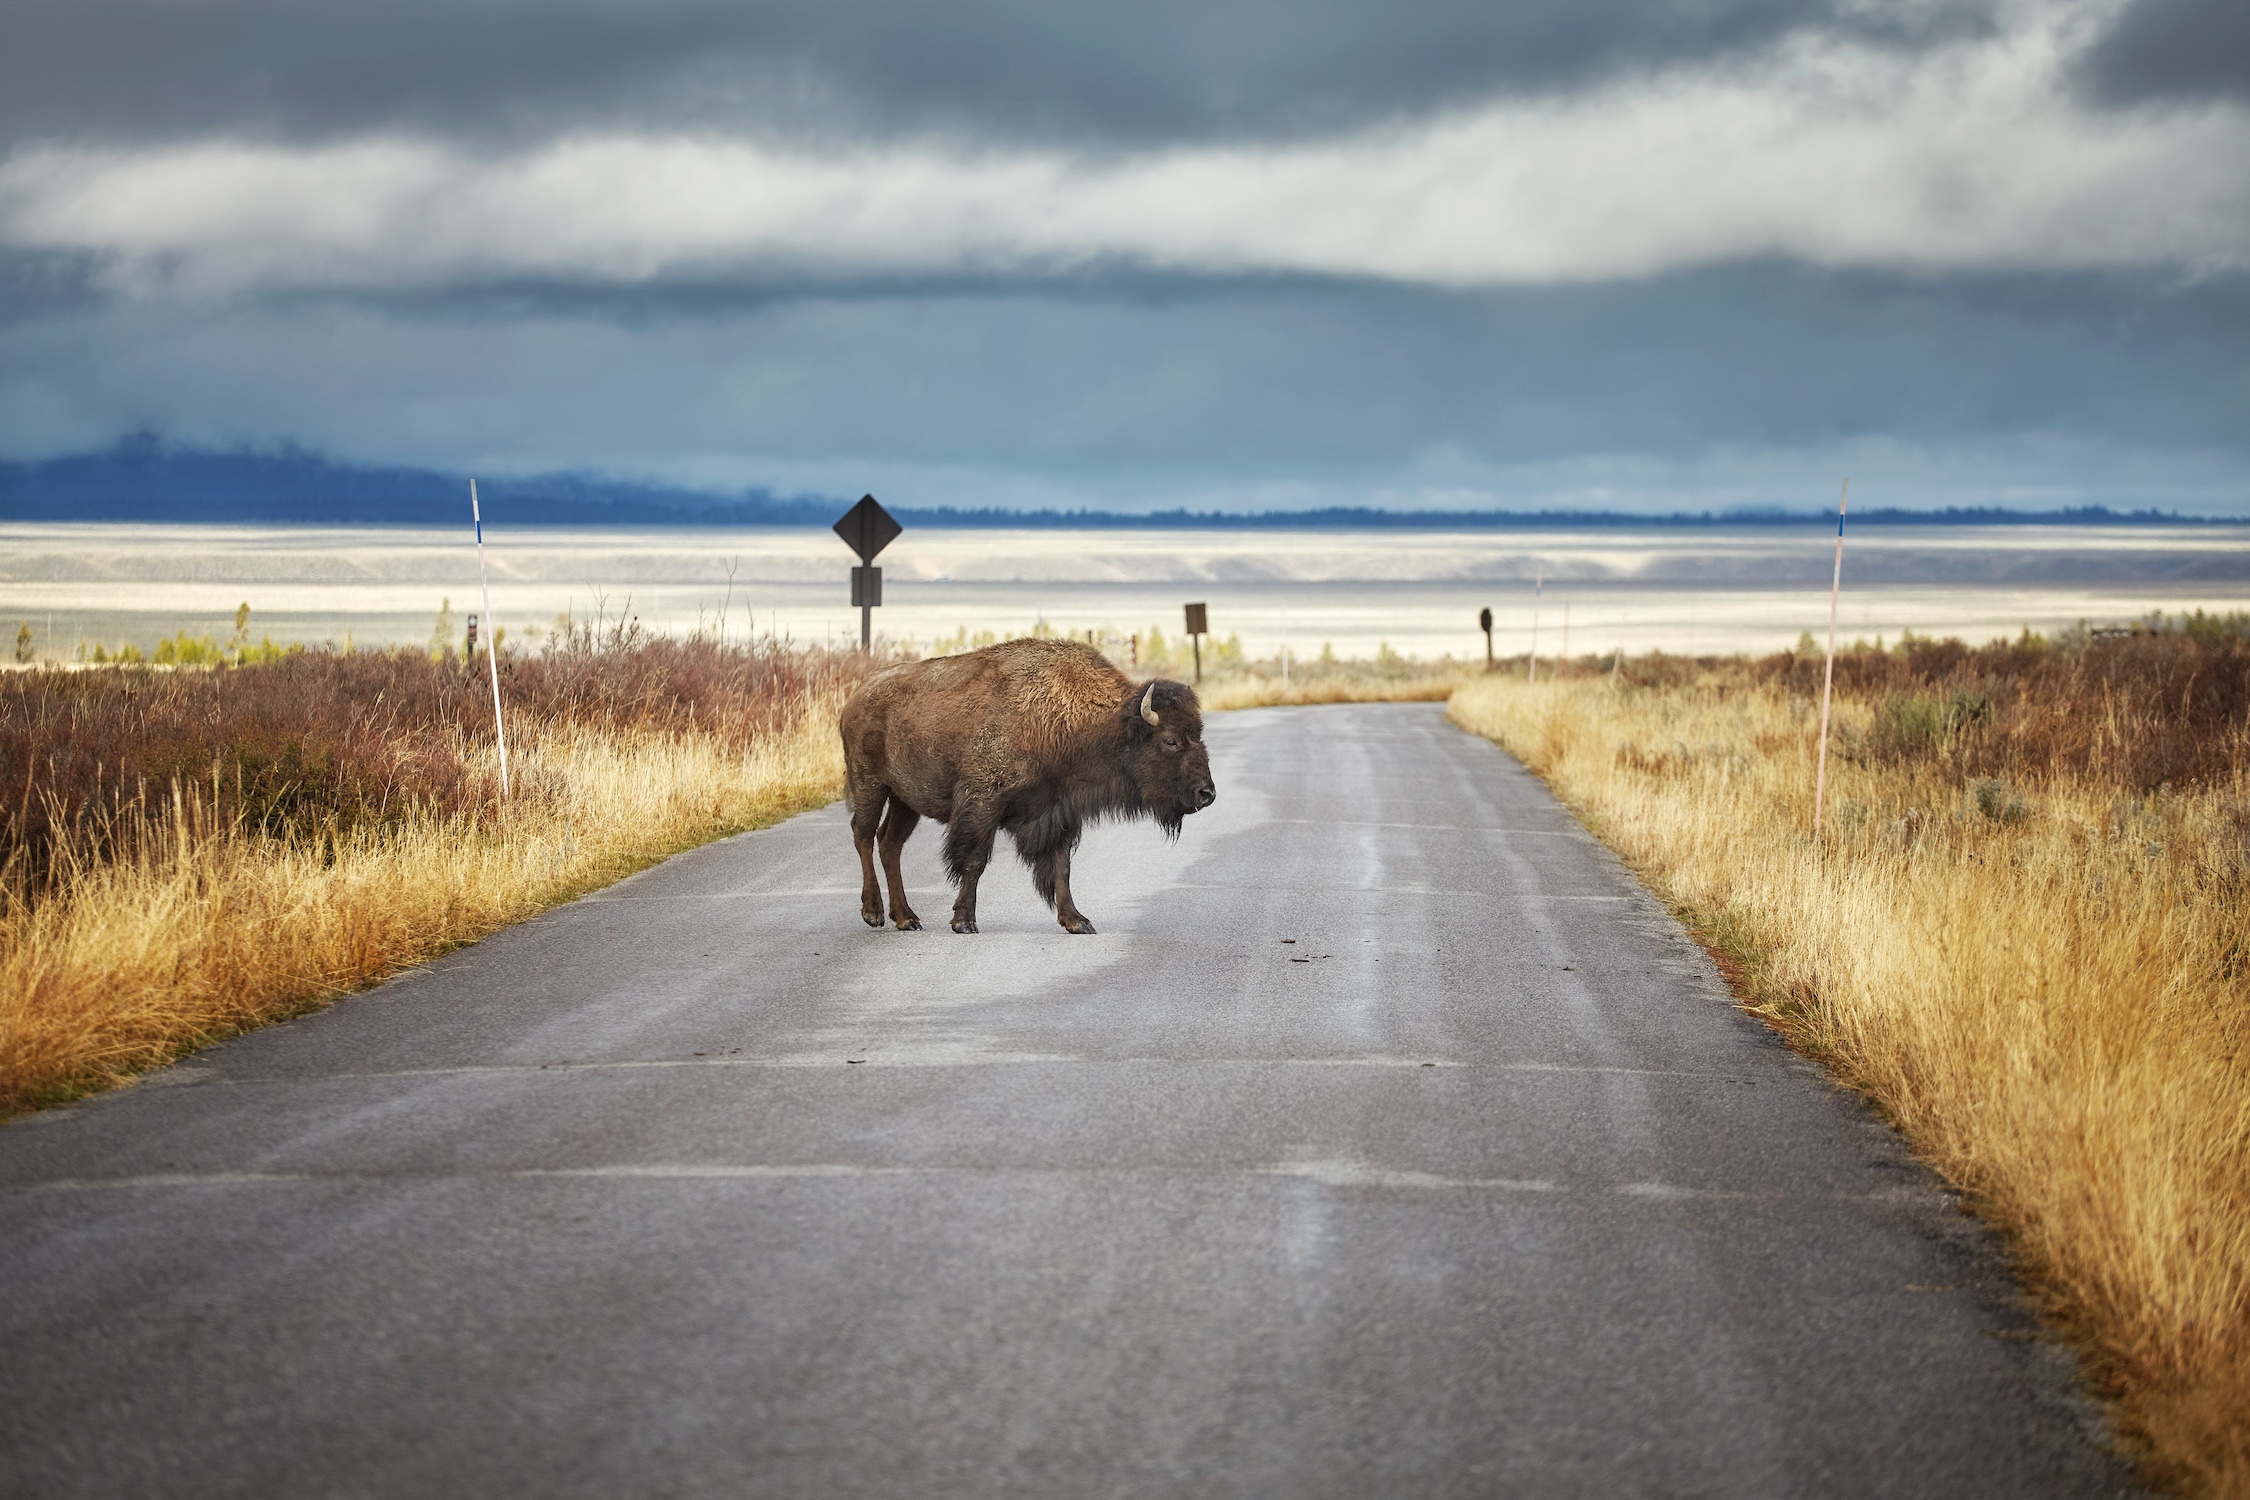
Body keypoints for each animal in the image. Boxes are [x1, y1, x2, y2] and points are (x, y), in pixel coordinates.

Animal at [837, 638, 1215, 940]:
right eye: (1170, 740)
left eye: (1198, 734)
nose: (1207, 794)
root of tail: (857, 696)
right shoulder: (982, 804)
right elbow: (974, 861)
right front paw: (964, 921)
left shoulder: (1058, 812)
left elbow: (1061, 867)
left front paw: (1077, 922)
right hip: (871, 785)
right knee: (863, 834)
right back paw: (874, 913)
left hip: (905, 801)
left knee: (890, 844)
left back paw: (907, 918)